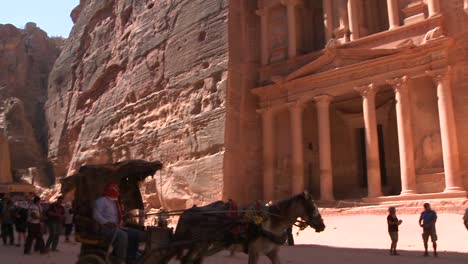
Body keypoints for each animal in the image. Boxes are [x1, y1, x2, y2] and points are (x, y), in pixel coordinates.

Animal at [173, 191, 326, 262]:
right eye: (313, 207)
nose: (322, 225)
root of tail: (186, 213)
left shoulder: (272, 252)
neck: (271, 223)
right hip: (198, 245)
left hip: (202, 246)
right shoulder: (254, 252)